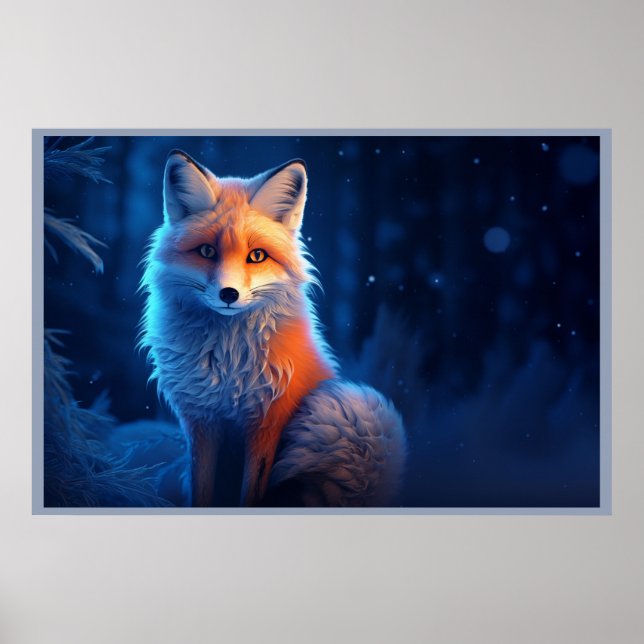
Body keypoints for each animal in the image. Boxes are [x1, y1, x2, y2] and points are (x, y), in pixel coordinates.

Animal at [140, 149, 407, 507]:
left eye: (257, 256)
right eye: (207, 251)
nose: (228, 294)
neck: (228, 365)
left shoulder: (270, 420)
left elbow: (252, 492)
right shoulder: (200, 422)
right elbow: (201, 490)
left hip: (352, 412)